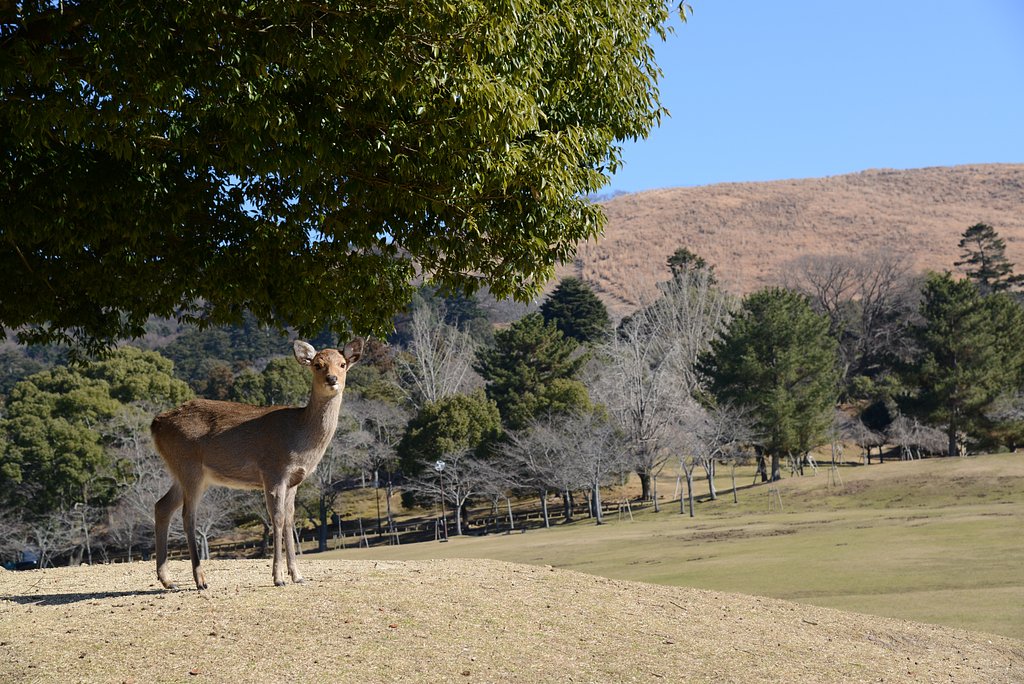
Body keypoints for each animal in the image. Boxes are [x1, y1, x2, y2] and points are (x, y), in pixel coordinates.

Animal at [150, 339, 363, 590]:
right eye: (318, 364)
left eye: (342, 364)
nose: (332, 379)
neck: (300, 438)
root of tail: (155, 425)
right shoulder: (273, 471)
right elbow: (277, 518)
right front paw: (278, 578)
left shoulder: (294, 481)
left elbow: (290, 519)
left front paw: (297, 575)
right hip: (189, 467)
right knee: (187, 516)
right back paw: (200, 580)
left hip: (183, 472)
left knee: (162, 506)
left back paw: (168, 581)